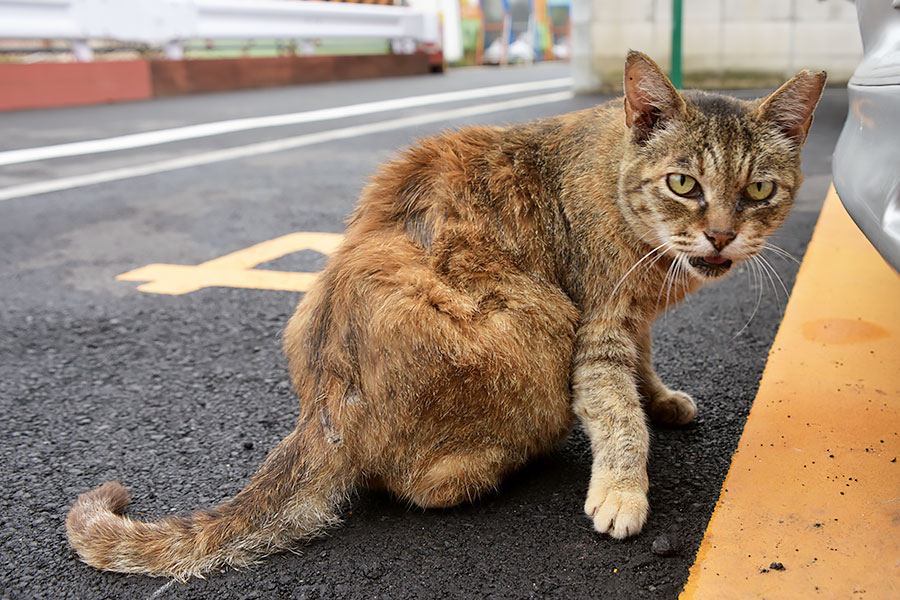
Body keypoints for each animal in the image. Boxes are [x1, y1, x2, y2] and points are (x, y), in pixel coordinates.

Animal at [65, 52, 824, 580]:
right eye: (683, 183)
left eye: (760, 190)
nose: (721, 236)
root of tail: (323, 409)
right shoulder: (597, 321)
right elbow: (616, 412)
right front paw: (622, 487)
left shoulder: (630, 319)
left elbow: (645, 366)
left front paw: (661, 400)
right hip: (540, 325)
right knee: (422, 485)